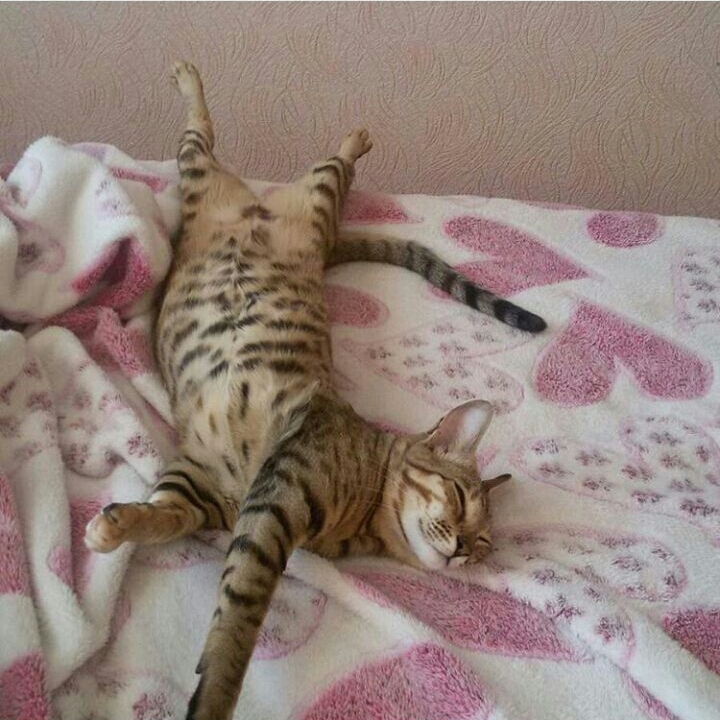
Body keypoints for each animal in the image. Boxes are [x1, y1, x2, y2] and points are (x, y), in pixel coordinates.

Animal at [84, 61, 536, 720]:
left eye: (481, 546)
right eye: (456, 497)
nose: (457, 550)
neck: (365, 516)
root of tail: (269, 207)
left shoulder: (210, 490)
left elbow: (167, 518)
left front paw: (120, 524)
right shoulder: (276, 497)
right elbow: (237, 622)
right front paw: (214, 697)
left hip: (266, 192)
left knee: (220, 142)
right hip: (261, 185)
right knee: (219, 135)